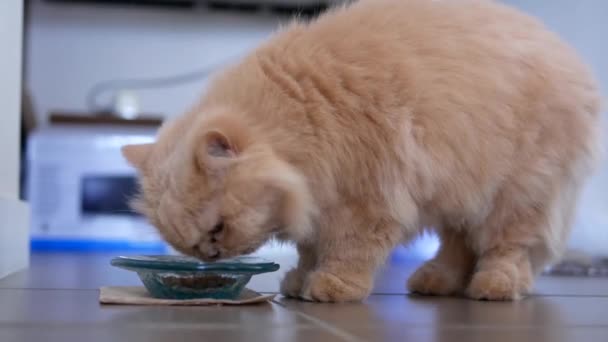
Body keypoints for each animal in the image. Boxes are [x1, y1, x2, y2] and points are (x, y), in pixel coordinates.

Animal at [121, 0, 600, 300]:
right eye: (193, 245)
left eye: (217, 230)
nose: (211, 256)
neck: (300, 117)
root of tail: (571, 57)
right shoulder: (321, 205)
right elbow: (310, 249)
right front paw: (299, 280)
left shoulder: (364, 201)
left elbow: (348, 251)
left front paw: (331, 287)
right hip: (463, 199)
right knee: (458, 247)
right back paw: (436, 281)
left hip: (516, 196)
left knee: (506, 249)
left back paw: (494, 287)